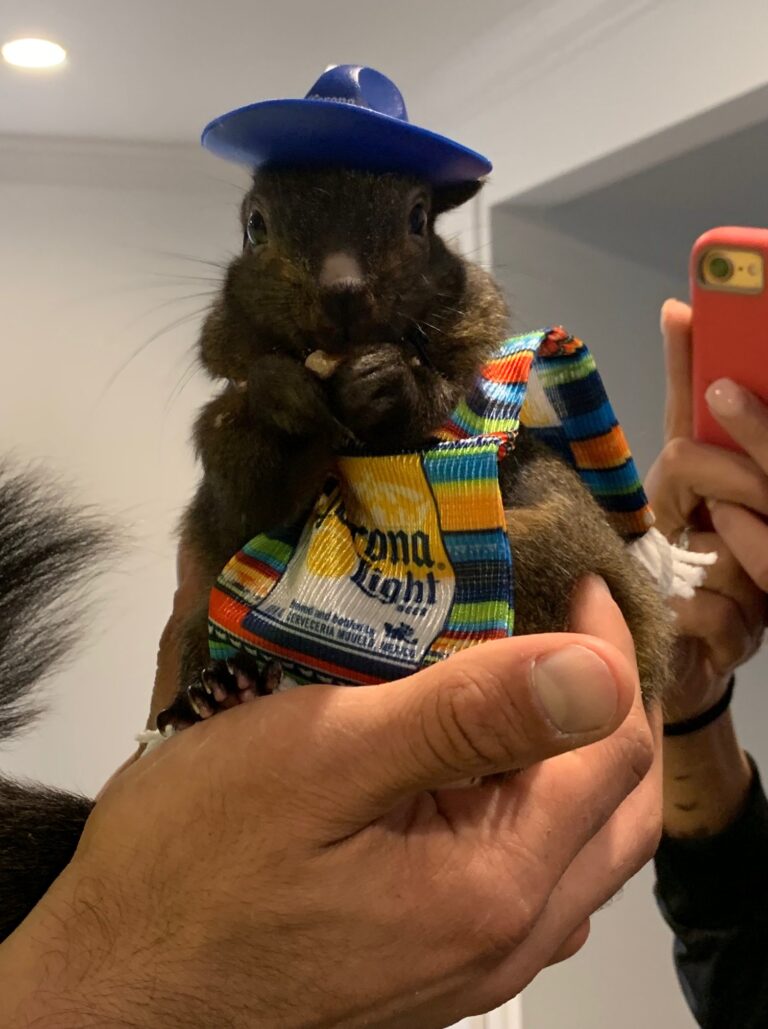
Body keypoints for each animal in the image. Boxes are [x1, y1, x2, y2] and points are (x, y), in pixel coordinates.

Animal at [0, 166, 674, 941]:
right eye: (253, 224)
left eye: (419, 219)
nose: (342, 291)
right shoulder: (225, 468)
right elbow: (244, 480)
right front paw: (280, 395)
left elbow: (443, 396)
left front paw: (392, 380)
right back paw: (217, 690)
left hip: (555, 549)